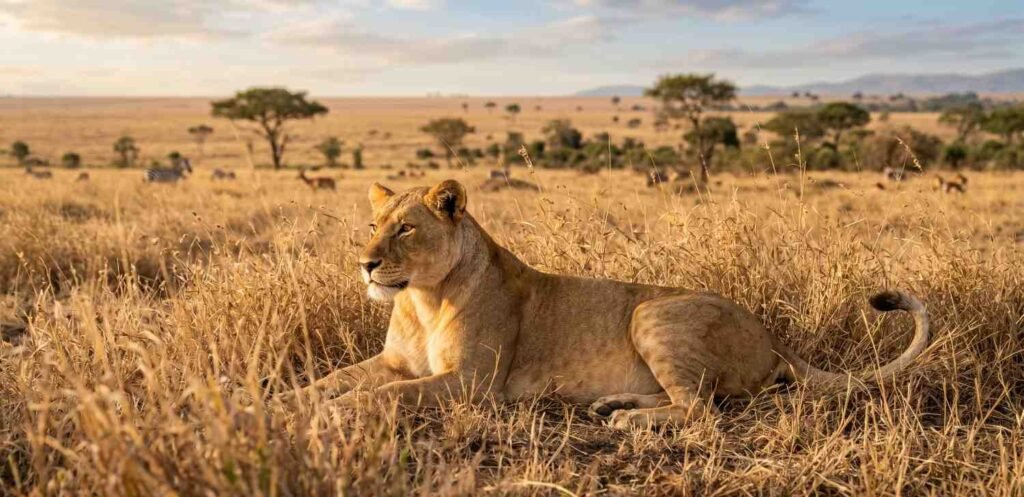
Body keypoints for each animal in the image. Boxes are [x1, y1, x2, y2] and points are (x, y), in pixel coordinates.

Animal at [282, 179, 929, 429]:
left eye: (407, 229)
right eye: (373, 225)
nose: (365, 263)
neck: (421, 297)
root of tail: (774, 337)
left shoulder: (471, 384)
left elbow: (384, 395)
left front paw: (338, 412)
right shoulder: (395, 361)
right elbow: (333, 379)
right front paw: (281, 401)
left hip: (651, 313)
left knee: (701, 410)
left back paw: (625, 419)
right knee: (688, 398)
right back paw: (614, 402)